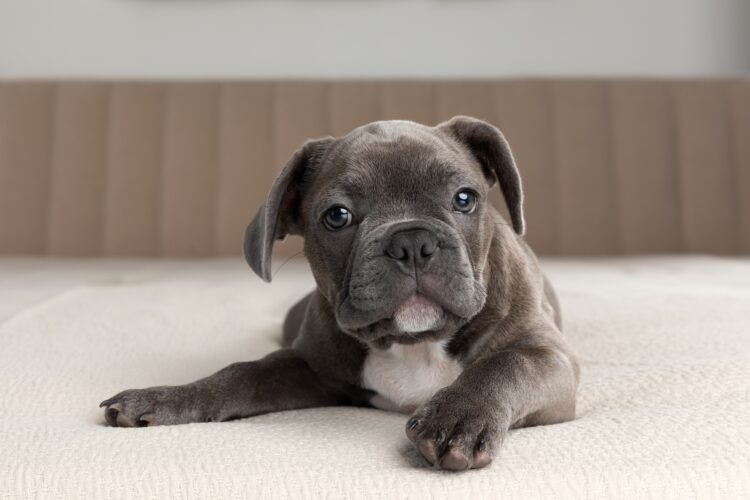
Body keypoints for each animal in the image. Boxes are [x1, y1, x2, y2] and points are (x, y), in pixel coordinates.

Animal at [100, 115, 580, 470]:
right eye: (337, 216)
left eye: (465, 199)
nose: (412, 242)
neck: (413, 343)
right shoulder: (306, 367)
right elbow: (240, 374)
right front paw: (165, 397)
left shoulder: (549, 358)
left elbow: (505, 365)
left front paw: (459, 416)